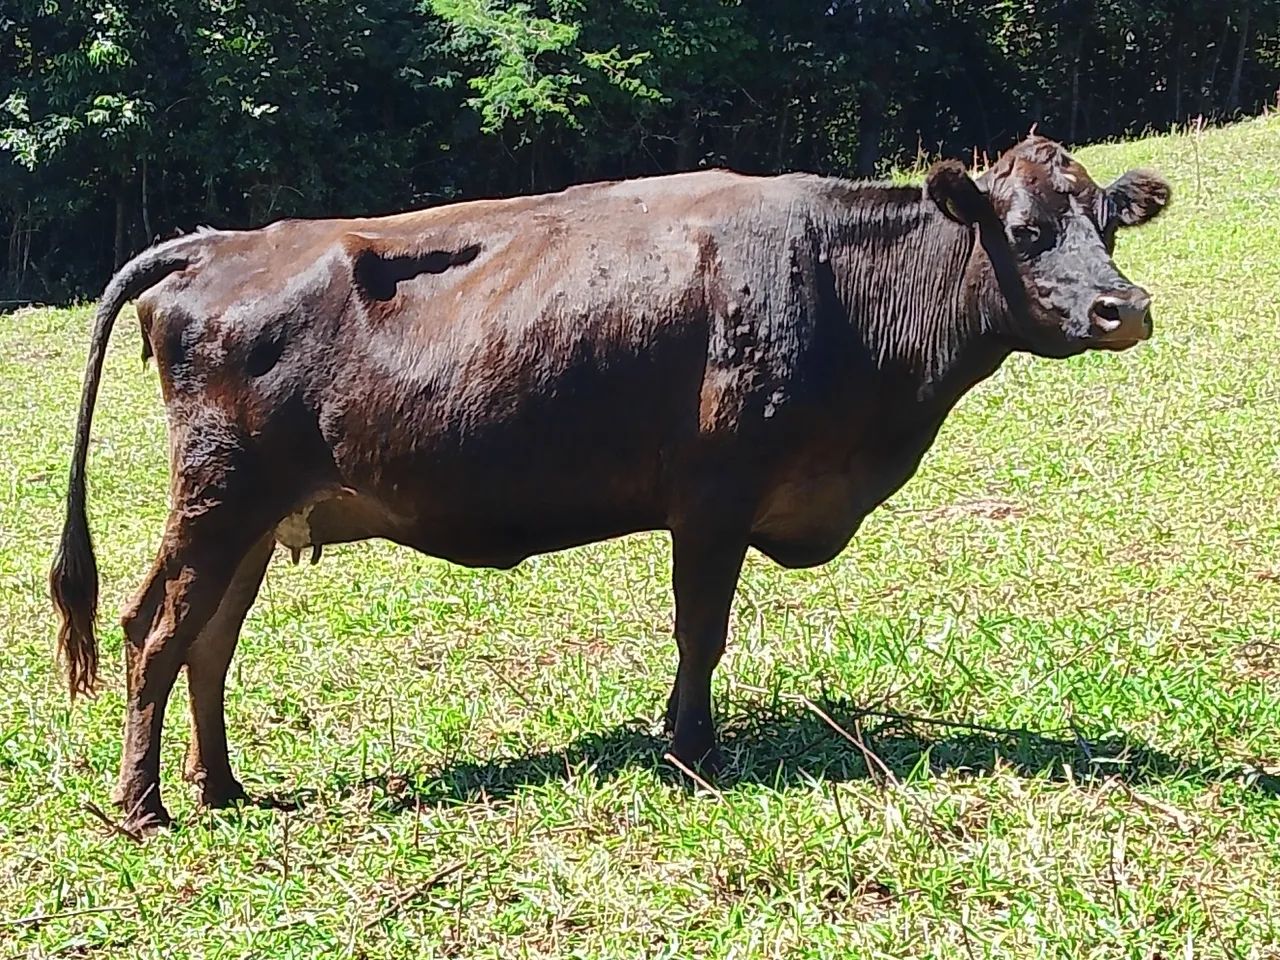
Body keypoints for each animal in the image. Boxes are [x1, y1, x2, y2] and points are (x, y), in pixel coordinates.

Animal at [50, 134, 1170, 830]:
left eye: (1107, 225)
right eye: (1023, 232)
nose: (1125, 309)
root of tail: (221, 242)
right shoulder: (715, 495)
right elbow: (699, 630)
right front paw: (691, 751)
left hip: (252, 515)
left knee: (209, 642)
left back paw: (221, 787)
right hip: (218, 496)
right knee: (155, 630)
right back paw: (145, 805)